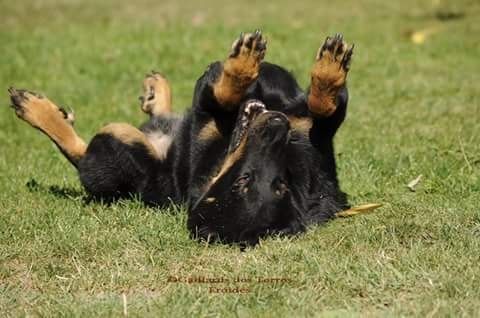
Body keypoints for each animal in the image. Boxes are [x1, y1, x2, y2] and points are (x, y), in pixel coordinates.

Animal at [7, 31, 376, 246]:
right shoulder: (314, 134)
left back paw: (35, 108)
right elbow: (321, 102)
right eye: (244, 181)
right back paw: (155, 91)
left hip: (118, 142)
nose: (277, 129)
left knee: (81, 153)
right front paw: (326, 67)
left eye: (277, 184)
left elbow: (223, 93)